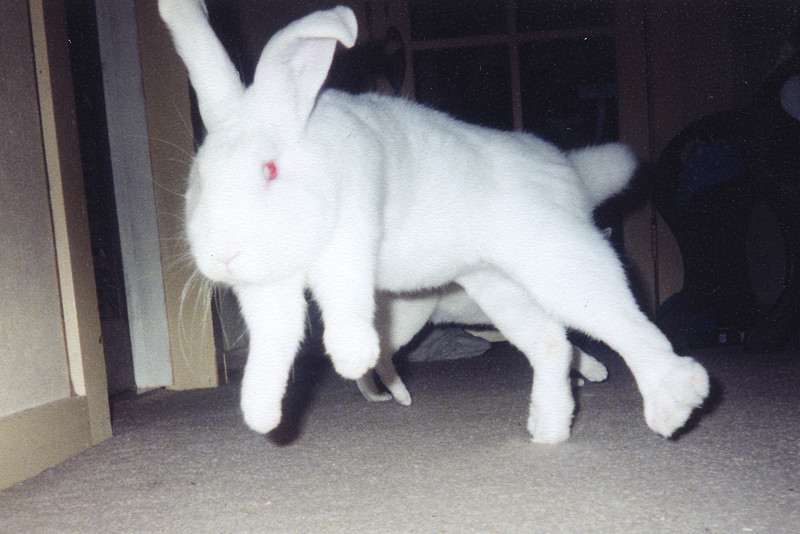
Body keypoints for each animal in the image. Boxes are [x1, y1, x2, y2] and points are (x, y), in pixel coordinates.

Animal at [159, 1, 709, 443]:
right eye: (198, 181)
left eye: (269, 170)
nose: (222, 255)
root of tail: (568, 173)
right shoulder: (268, 290)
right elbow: (274, 341)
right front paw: (259, 413)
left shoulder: (353, 224)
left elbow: (343, 286)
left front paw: (351, 354)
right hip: (500, 286)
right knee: (552, 344)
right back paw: (549, 432)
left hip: (560, 261)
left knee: (627, 327)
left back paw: (674, 403)